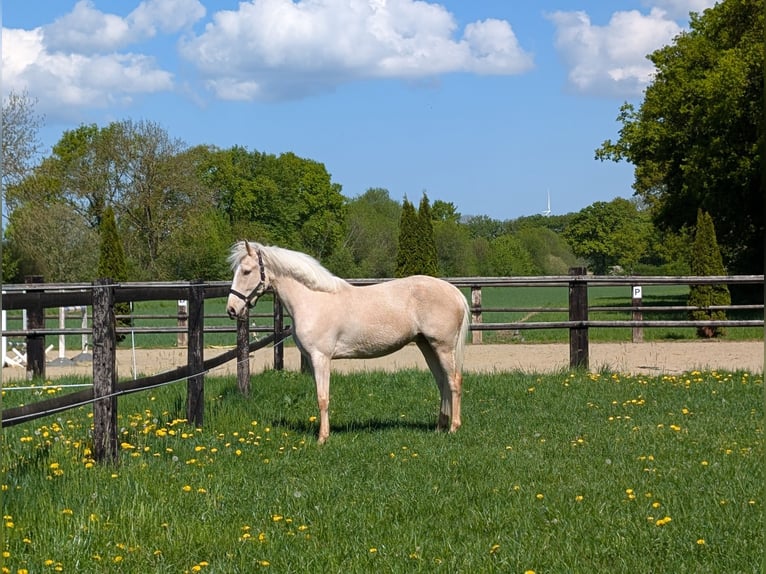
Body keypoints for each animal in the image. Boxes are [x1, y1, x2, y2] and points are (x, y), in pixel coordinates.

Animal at [226, 240, 470, 444]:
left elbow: (322, 398)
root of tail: (455, 292)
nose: (231, 310)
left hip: (443, 347)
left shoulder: (321, 358)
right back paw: (439, 427)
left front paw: (322, 439)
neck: (313, 299)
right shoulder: (313, 360)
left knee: (454, 381)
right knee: (442, 382)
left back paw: (454, 428)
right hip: (426, 345)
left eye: (246, 271)